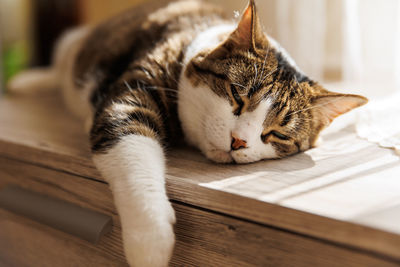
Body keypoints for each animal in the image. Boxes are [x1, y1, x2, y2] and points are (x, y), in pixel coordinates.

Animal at [7, 0, 368, 266]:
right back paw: (26, 81)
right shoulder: (133, 91)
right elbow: (132, 152)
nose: (239, 141)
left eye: (276, 134)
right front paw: (149, 240)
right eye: (237, 96)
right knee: (58, 68)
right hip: (73, 45)